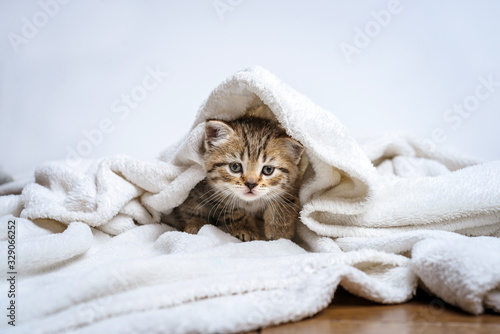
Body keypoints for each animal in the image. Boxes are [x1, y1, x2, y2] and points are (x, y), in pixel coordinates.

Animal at [172, 116, 304, 241]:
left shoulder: (296, 180)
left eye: (268, 170)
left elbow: (287, 199)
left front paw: (279, 229)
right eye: (235, 167)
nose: (251, 184)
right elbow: (232, 210)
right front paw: (245, 230)